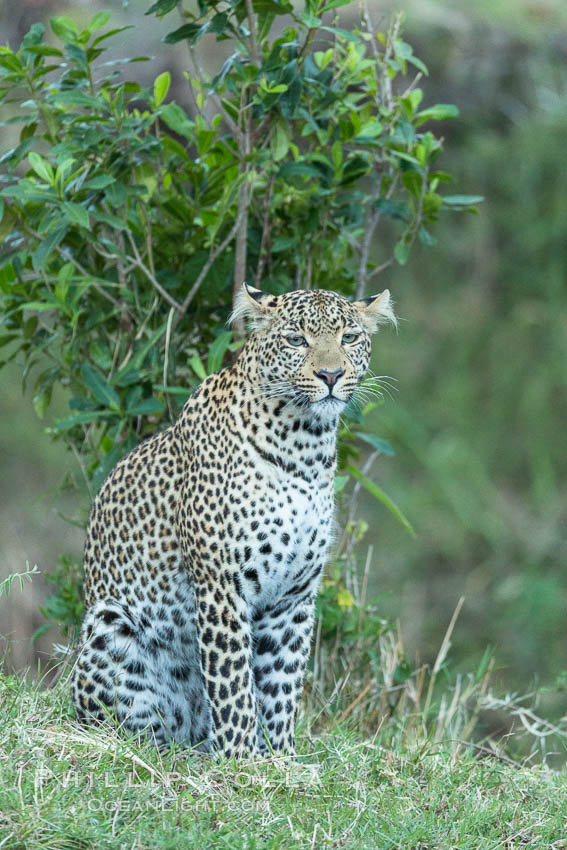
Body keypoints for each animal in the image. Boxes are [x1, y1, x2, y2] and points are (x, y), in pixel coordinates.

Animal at [71, 284, 398, 756]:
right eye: (296, 340)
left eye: (350, 338)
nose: (331, 375)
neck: (306, 447)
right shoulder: (222, 584)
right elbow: (234, 682)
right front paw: (241, 758)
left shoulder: (293, 596)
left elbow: (281, 681)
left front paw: (281, 757)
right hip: (109, 625)